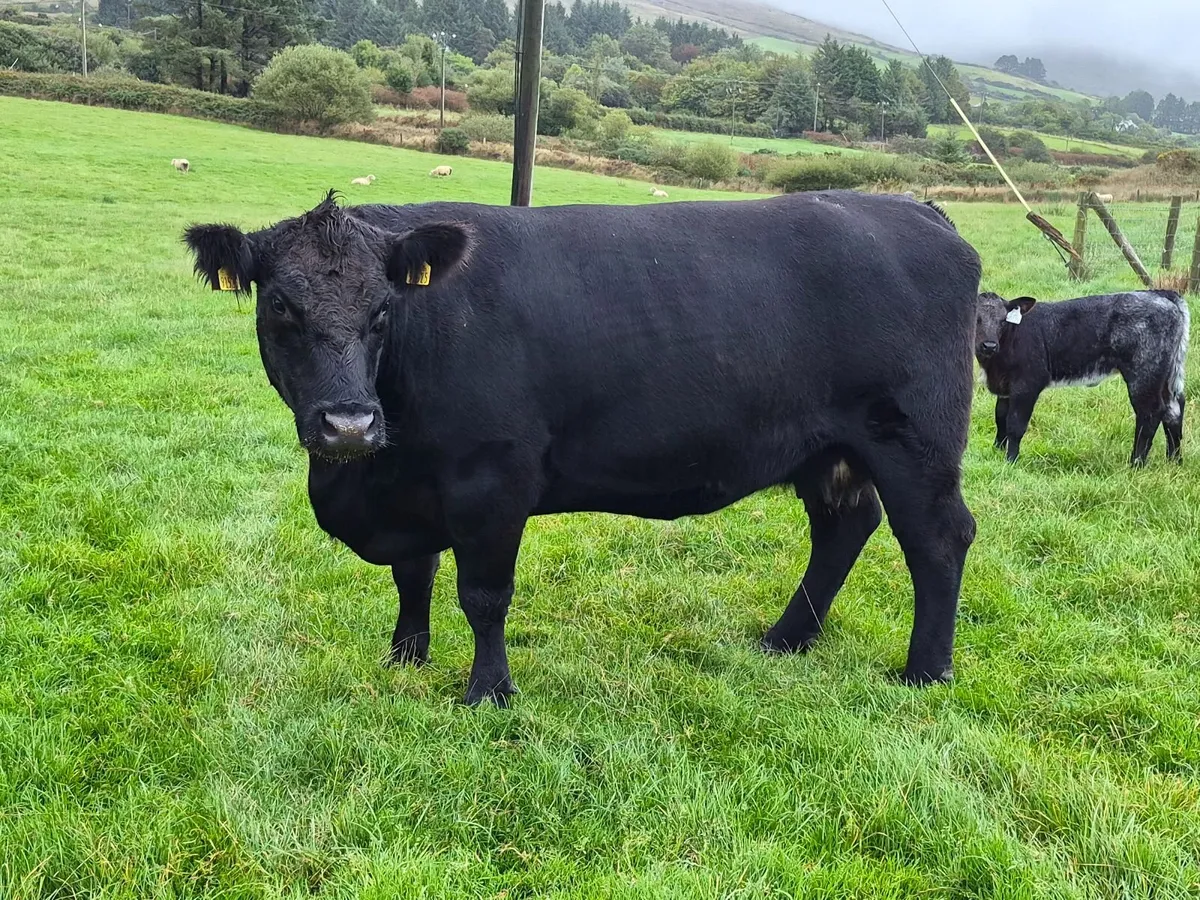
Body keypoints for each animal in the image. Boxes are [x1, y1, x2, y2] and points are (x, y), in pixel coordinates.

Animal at [183, 190, 982, 706]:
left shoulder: (491, 479)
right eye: (279, 305)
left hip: (913, 440)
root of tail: (915, 207)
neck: (369, 476)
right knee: (845, 526)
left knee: (937, 537)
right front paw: (404, 658)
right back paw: (785, 641)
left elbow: (483, 594)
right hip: (830, 450)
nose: (349, 425)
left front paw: (488, 692)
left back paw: (925, 672)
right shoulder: (413, 487)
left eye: (383, 309)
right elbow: (414, 575)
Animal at [974, 290, 1190, 466]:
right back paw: (1174, 462)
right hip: (1167, 376)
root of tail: (1160, 294)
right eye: (976, 319)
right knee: (1174, 409)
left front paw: (1010, 461)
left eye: (1003, 320)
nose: (989, 345)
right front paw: (997, 451)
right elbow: (1000, 418)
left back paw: (1136, 464)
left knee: (1150, 413)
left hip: (1145, 374)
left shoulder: (1027, 384)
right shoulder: (1004, 387)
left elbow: (1015, 425)